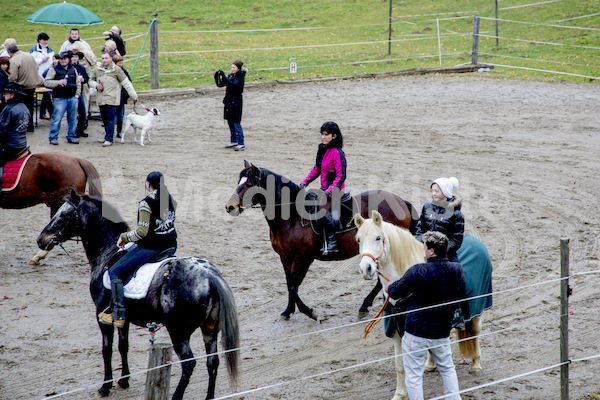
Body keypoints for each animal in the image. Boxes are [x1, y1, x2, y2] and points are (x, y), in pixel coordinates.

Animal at [36, 190, 239, 400]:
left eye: (64, 215)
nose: (41, 240)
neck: (108, 252)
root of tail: (210, 276)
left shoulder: (101, 316)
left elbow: (106, 349)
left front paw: (105, 386)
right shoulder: (122, 319)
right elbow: (123, 346)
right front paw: (124, 380)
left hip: (179, 332)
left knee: (189, 364)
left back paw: (176, 396)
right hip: (210, 330)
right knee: (212, 363)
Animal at [225, 161, 418, 320]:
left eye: (249, 184)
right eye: (238, 181)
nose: (230, 207)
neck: (292, 216)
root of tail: (400, 201)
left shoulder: (303, 258)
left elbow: (294, 285)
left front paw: (309, 311)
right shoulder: (285, 257)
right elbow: (289, 284)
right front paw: (288, 310)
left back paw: (366, 304)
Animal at [356, 209, 488, 400]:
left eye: (378, 237)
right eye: (358, 240)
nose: (366, 269)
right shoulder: (397, 330)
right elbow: (399, 365)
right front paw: (400, 394)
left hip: (477, 310)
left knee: (475, 332)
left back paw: (476, 364)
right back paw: (430, 364)